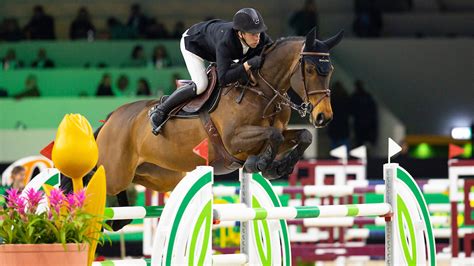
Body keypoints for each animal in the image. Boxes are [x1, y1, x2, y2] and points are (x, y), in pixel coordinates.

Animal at [86, 27, 340, 230]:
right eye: (310, 70)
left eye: (331, 70)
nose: (323, 117)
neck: (263, 92)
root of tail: (111, 117)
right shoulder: (234, 140)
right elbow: (274, 135)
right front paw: (261, 164)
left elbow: (303, 135)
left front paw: (279, 166)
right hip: (115, 170)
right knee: (94, 179)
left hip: (160, 174)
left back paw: (120, 220)